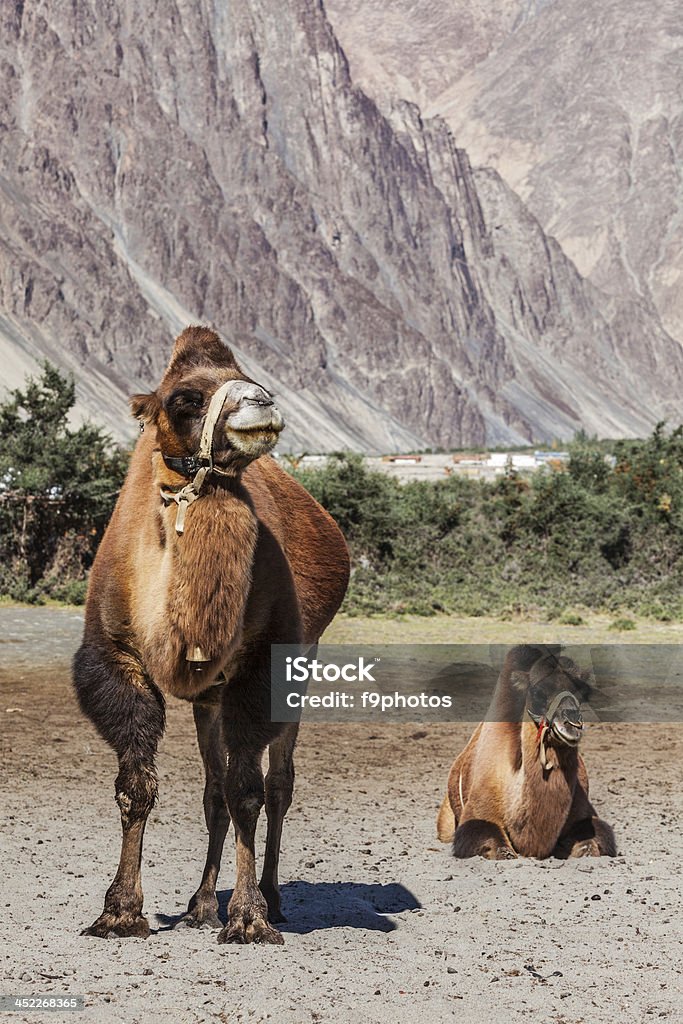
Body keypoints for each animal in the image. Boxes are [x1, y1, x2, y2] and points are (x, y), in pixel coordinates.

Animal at [72, 327, 350, 942]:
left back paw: (272, 897)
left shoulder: (261, 666)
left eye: (250, 376)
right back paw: (201, 903)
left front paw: (248, 917)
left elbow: (249, 791)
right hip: (209, 699)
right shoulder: (117, 657)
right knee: (213, 789)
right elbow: (138, 785)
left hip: (301, 662)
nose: (261, 402)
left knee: (277, 783)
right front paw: (120, 911)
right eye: (184, 398)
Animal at [438, 647, 618, 856]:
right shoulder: (478, 813)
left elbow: (592, 840)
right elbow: (498, 847)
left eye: (582, 694)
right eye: (537, 692)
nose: (572, 725)